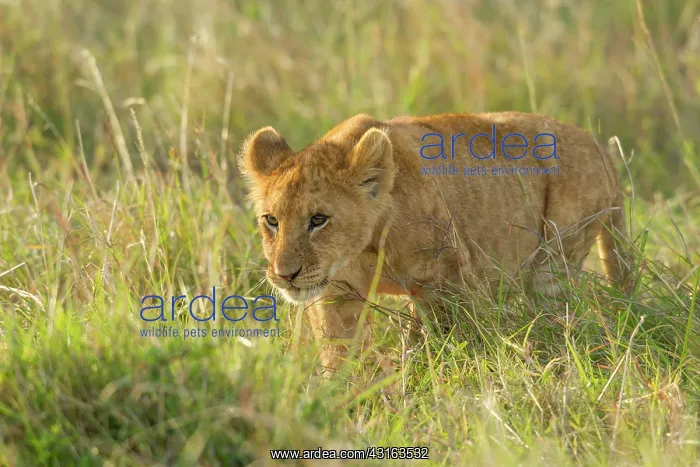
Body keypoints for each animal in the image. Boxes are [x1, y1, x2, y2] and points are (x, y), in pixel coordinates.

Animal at [238, 112, 629, 373]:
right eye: (271, 221)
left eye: (318, 220)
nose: (284, 275)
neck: (364, 249)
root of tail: (601, 149)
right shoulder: (336, 293)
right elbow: (341, 350)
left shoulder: (446, 281)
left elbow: (438, 341)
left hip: (554, 262)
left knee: (556, 316)